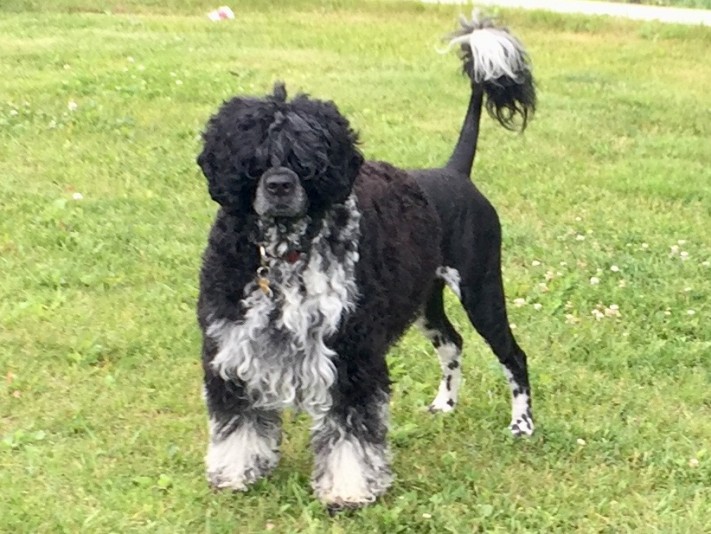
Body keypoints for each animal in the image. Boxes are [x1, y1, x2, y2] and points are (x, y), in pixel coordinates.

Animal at [195, 13, 536, 510]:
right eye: (252, 157)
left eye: (309, 158)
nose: (279, 186)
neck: (285, 253)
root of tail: (454, 171)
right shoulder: (233, 345)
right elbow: (238, 423)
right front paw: (235, 474)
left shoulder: (351, 354)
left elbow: (350, 435)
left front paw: (348, 491)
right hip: (427, 301)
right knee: (452, 344)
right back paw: (444, 404)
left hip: (482, 288)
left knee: (513, 356)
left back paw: (522, 425)